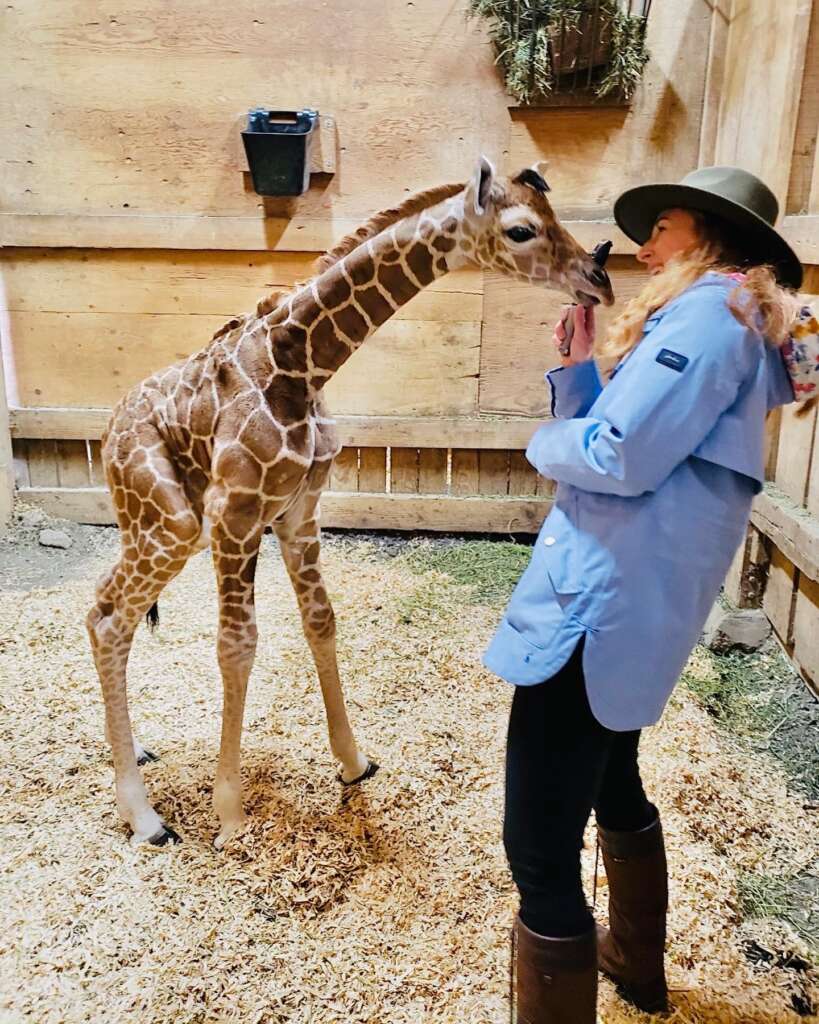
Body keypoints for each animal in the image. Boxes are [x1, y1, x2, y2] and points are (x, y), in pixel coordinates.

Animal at [87, 156, 614, 848]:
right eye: (523, 229)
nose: (598, 280)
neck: (300, 364)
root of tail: (107, 433)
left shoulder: (296, 512)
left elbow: (321, 621)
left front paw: (353, 762)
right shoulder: (237, 515)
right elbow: (236, 647)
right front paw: (229, 814)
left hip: (152, 523)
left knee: (103, 607)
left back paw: (138, 758)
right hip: (174, 522)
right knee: (112, 618)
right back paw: (145, 816)